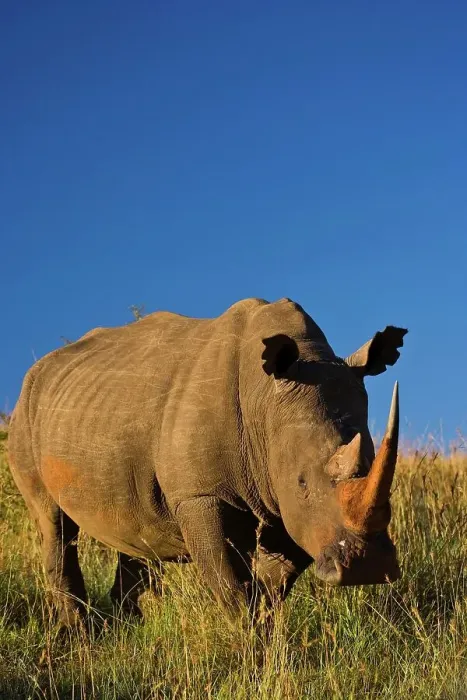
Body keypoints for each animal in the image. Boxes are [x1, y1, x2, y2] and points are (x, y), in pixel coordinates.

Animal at [8, 297, 407, 627]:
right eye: (303, 482)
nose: (368, 567)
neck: (265, 400)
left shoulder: (287, 501)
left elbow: (274, 583)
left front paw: (267, 633)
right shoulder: (204, 495)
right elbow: (232, 585)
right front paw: (251, 650)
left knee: (134, 532)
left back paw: (127, 632)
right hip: (25, 414)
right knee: (53, 523)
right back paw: (79, 638)